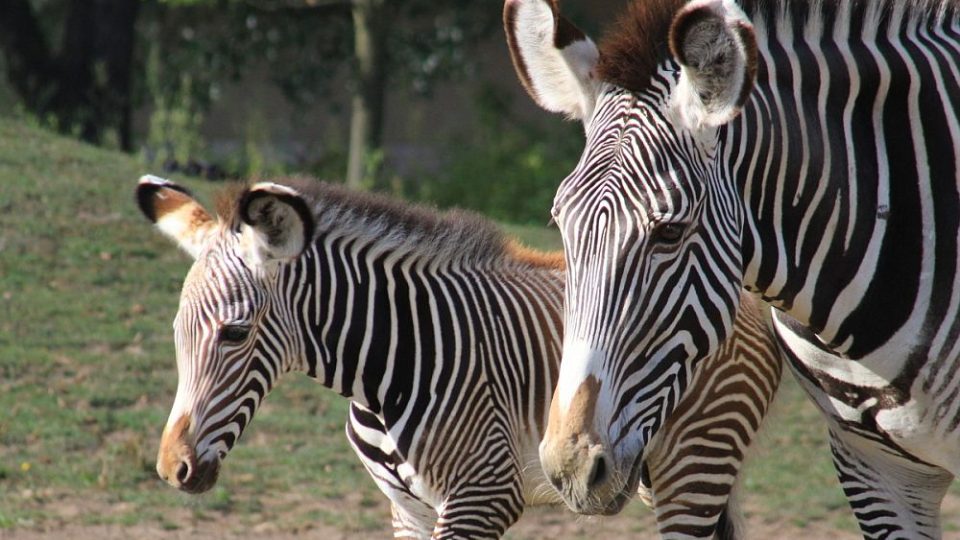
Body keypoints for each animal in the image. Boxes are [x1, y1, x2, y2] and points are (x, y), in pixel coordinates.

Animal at [139, 175, 784, 536]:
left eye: (234, 334)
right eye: (176, 333)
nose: (172, 470)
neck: (392, 357)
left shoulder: (483, 494)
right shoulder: (408, 510)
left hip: (695, 463)